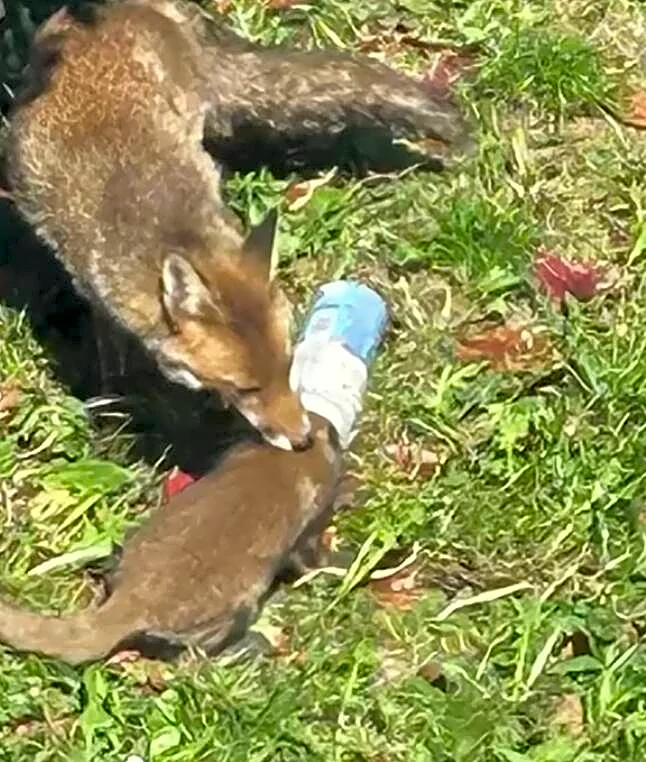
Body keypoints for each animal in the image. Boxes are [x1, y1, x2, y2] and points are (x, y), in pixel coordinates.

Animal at [5, 0, 472, 450]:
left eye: (289, 365)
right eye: (247, 388)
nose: (304, 440)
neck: (164, 220)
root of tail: (114, 7)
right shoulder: (89, 278)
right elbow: (109, 346)